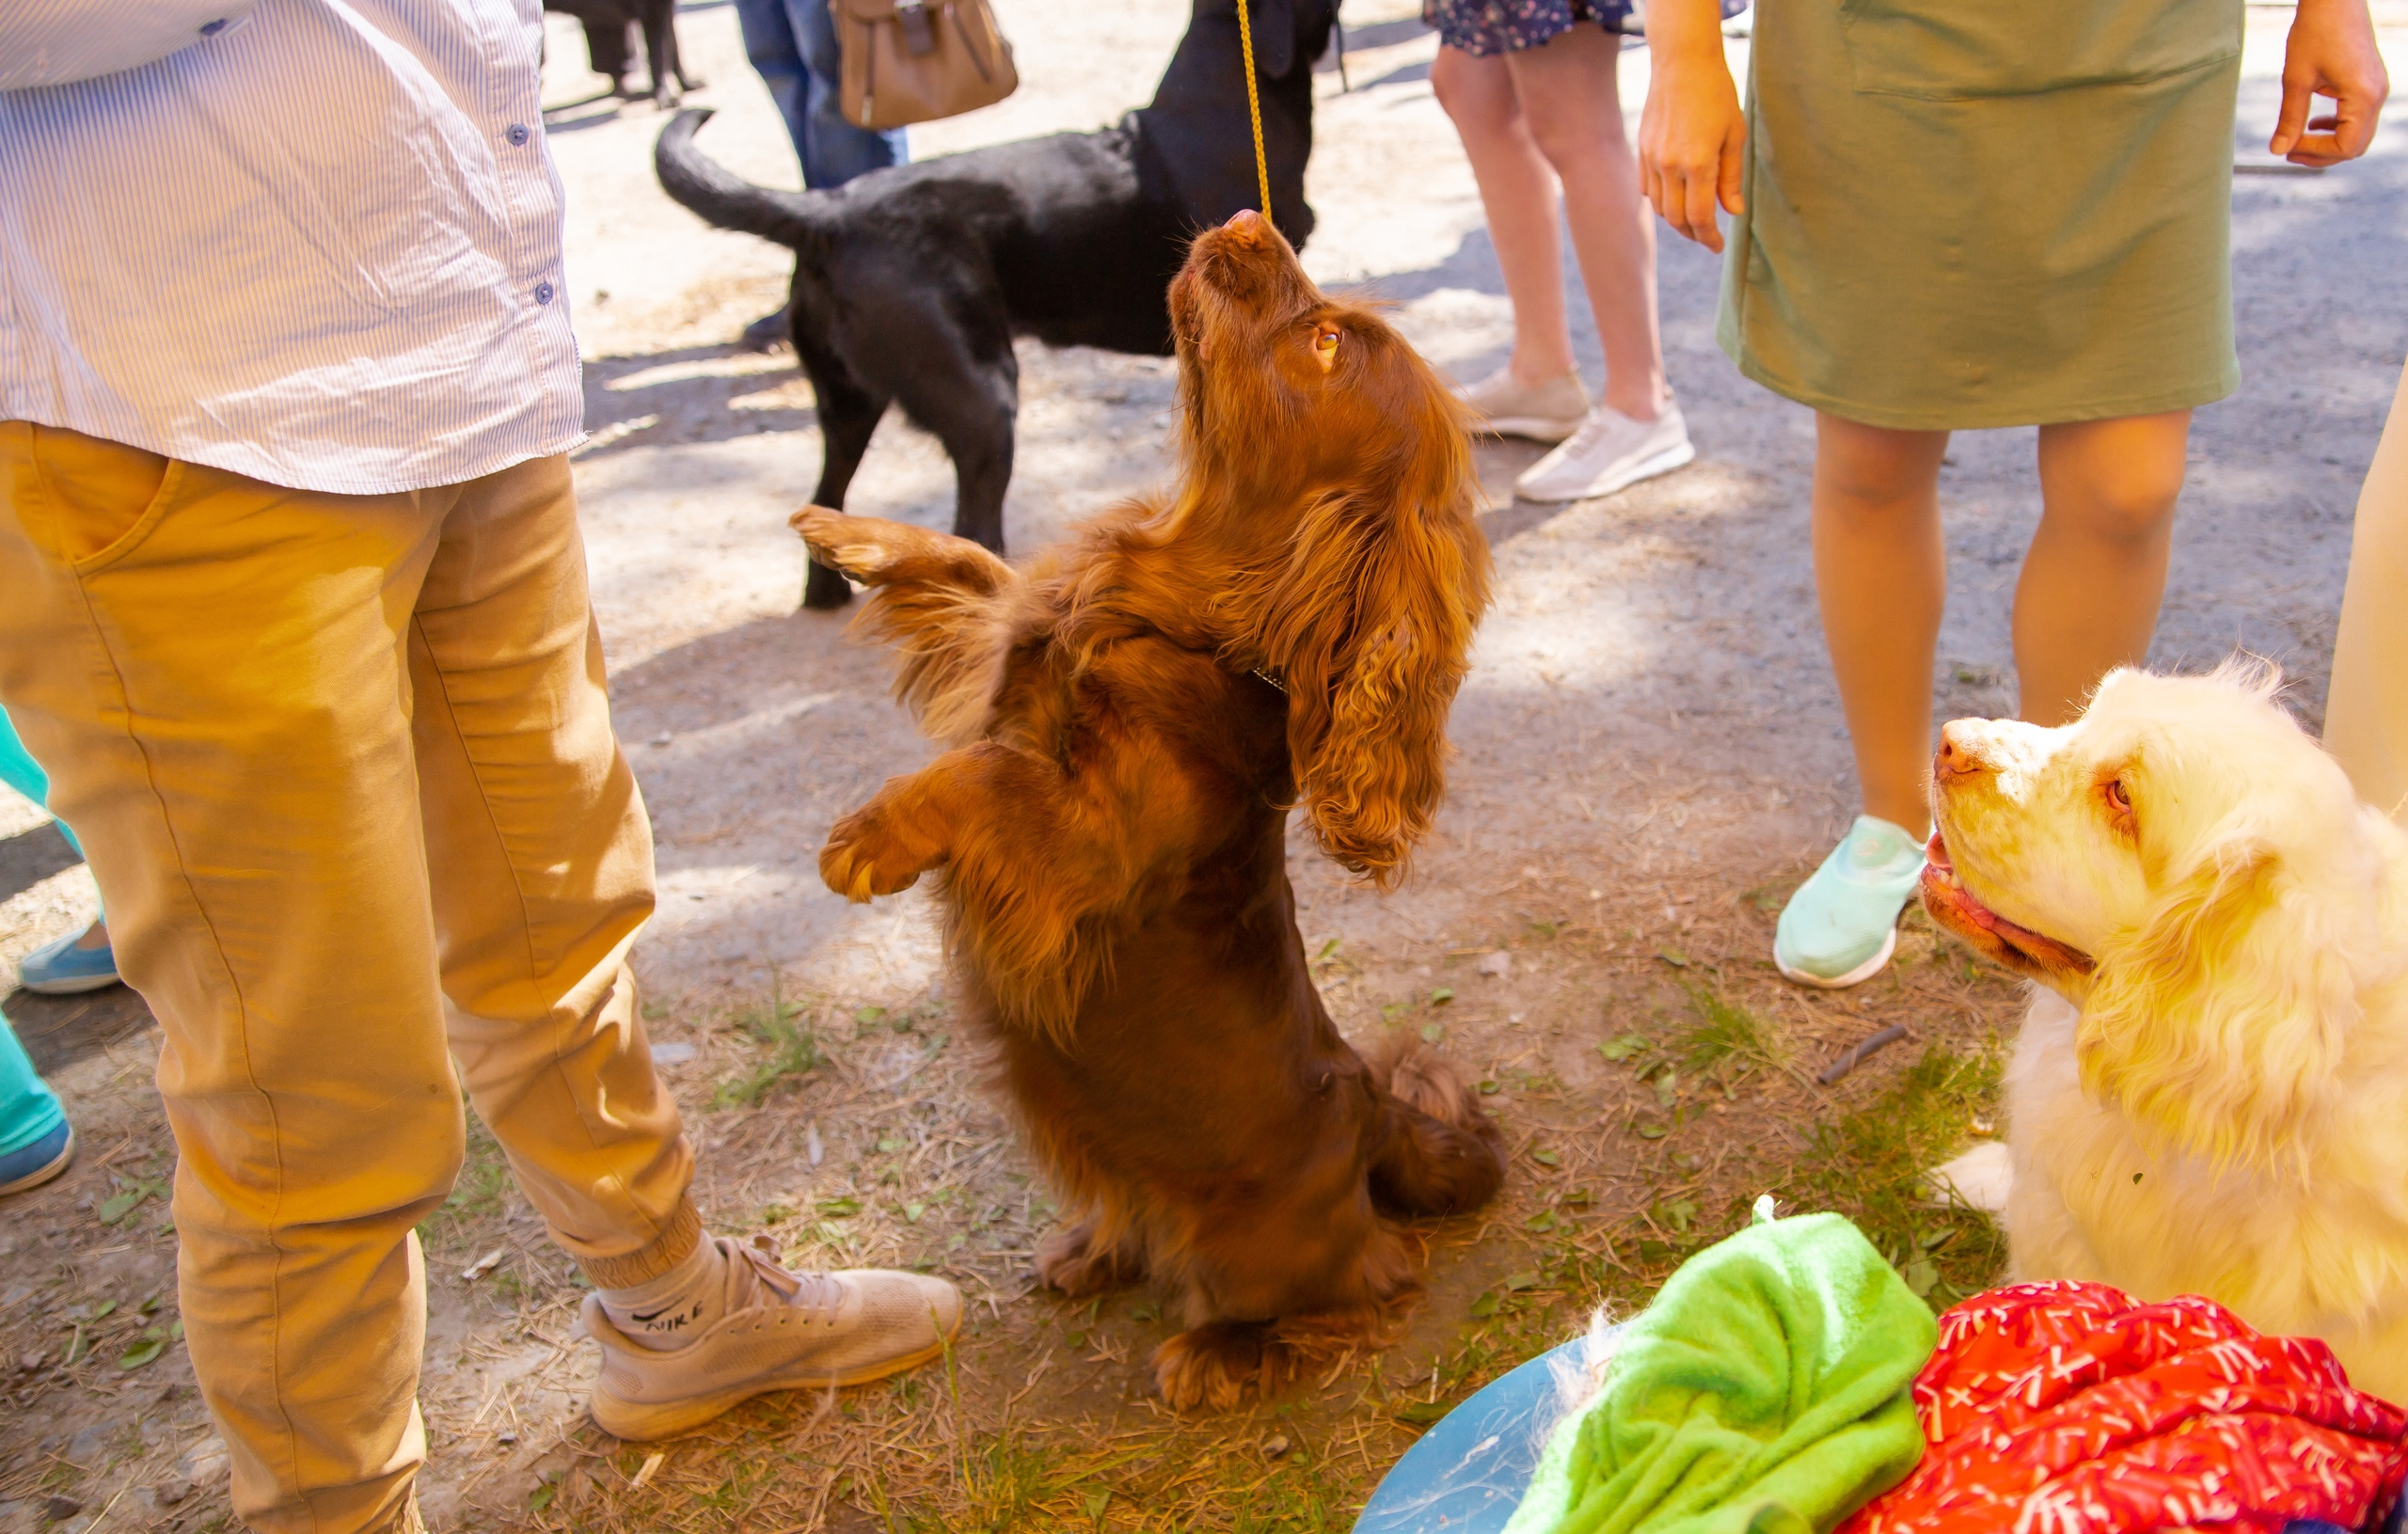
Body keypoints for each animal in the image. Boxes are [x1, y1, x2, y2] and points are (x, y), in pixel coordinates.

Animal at [561, 0, 707, 105]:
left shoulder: (666, 9)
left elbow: (674, 50)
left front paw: (687, 85)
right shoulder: (652, 13)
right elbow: (658, 60)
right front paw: (665, 98)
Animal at [789, 209, 1502, 1406]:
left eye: (1323, 346)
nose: (1248, 218)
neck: (1173, 607)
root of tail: (1373, 1113)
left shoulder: (1075, 842)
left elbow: (977, 779)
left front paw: (868, 836)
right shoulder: (1002, 652)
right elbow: (970, 563)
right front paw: (847, 531)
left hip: (1263, 1249)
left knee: (1368, 1282)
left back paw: (1216, 1354)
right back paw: (1093, 1247)